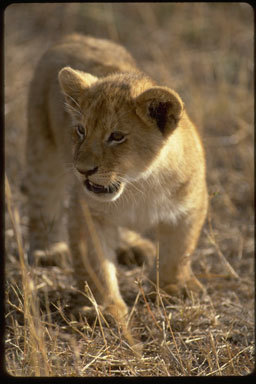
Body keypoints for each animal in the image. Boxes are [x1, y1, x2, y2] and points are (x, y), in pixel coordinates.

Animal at [25, 34, 208, 326]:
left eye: (117, 136)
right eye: (81, 130)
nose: (83, 170)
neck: (140, 184)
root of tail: (77, 36)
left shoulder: (191, 204)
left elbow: (179, 250)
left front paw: (173, 288)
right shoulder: (87, 214)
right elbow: (96, 263)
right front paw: (104, 309)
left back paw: (134, 247)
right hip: (42, 149)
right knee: (42, 201)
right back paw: (49, 251)